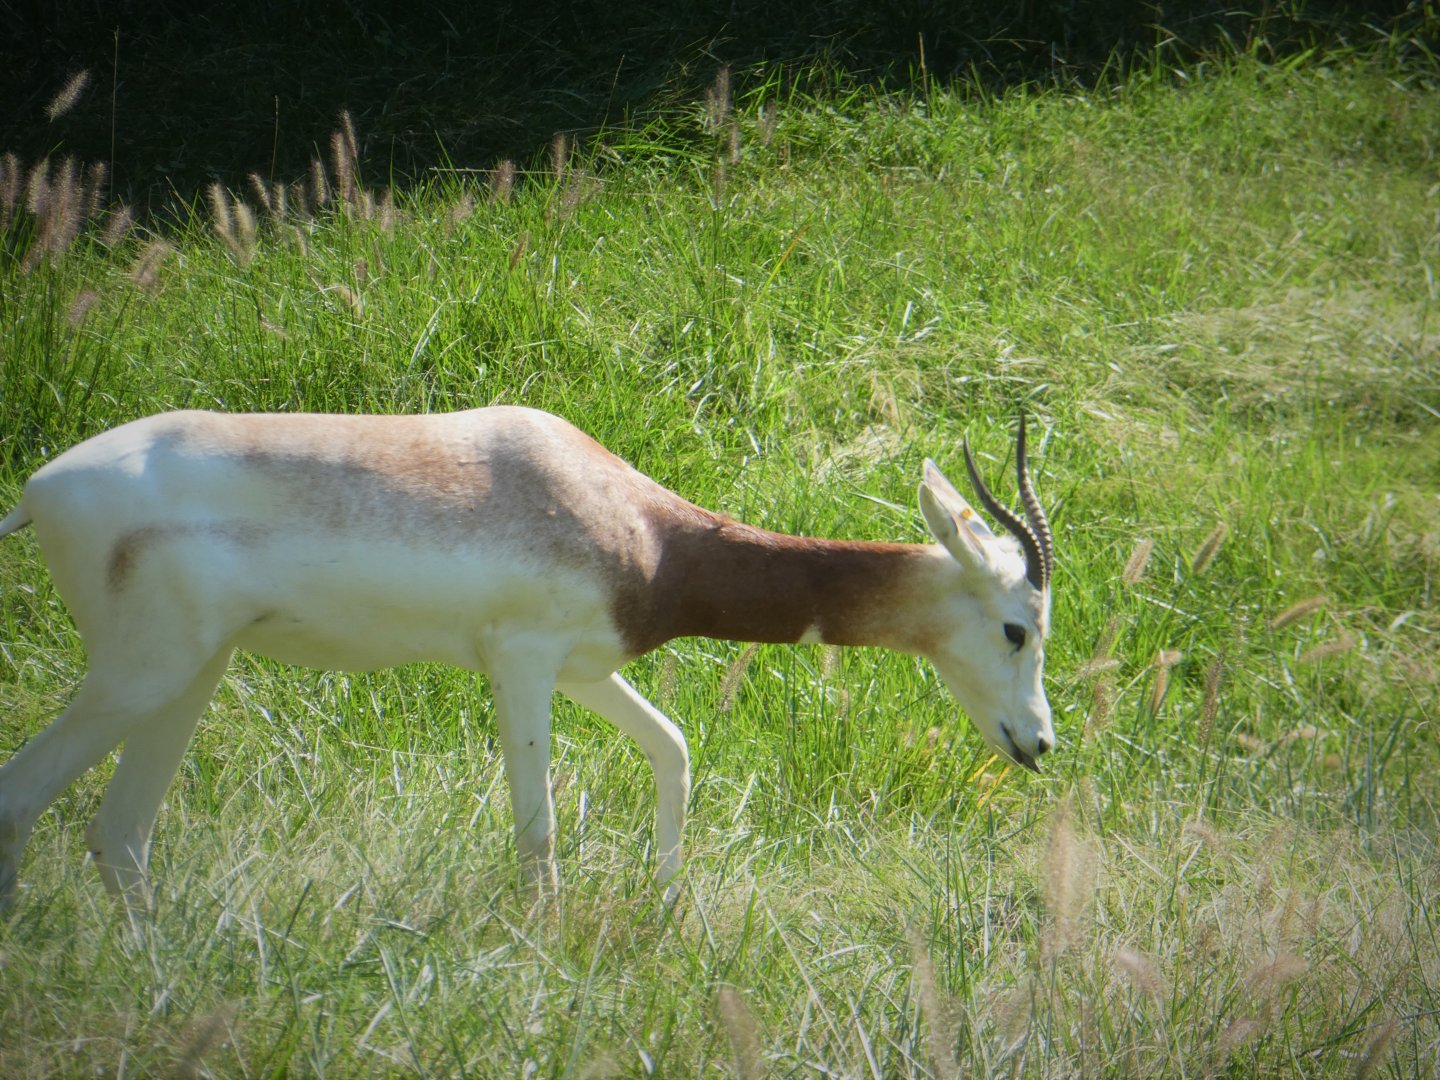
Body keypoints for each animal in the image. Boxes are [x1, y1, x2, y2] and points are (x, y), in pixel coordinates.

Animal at [0, 406, 1055, 911]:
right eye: (1019, 626)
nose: (1039, 742)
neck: (642, 530)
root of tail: (37, 490)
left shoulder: (588, 666)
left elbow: (673, 748)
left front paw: (666, 907)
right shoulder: (522, 663)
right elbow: (537, 830)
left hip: (193, 673)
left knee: (120, 835)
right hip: (140, 675)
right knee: (24, 795)